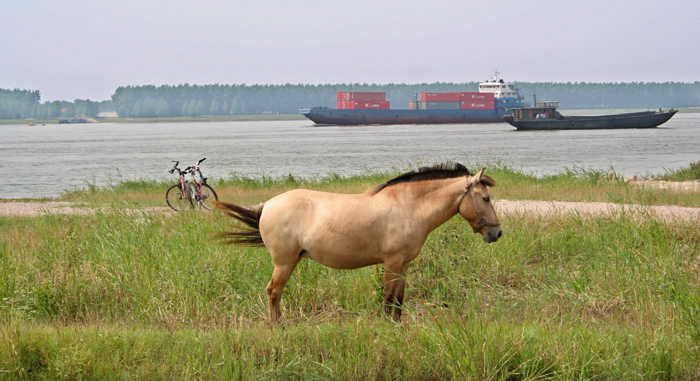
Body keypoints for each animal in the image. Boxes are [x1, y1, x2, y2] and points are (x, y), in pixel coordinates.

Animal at [216, 162, 500, 322]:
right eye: (485, 198)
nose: (496, 234)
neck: (408, 206)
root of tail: (268, 205)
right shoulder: (392, 261)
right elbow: (388, 296)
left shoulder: (404, 264)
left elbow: (399, 298)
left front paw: (397, 326)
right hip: (284, 263)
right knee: (274, 292)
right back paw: (278, 326)